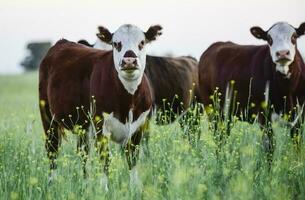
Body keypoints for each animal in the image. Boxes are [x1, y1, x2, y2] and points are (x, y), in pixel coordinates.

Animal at [38, 23, 162, 189]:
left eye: (142, 42)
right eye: (116, 44)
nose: (129, 60)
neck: (128, 100)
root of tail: (62, 42)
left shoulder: (139, 127)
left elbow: (133, 159)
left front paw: (134, 188)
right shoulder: (100, 127)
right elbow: (105, 161)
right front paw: (105, 189)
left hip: (83, 127)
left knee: (83, 152)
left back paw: (85, 184)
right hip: (48, 118)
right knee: (52, 149)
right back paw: (51, 184)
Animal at [197, 21, 304, 159]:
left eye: (294, 36)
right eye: (269, 39)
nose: (282, 53)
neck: (287, 90)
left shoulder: (299, 118)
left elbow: (297, 146)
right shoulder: (264, 115)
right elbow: (269, 147)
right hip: (212, 108)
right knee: (218, 136)